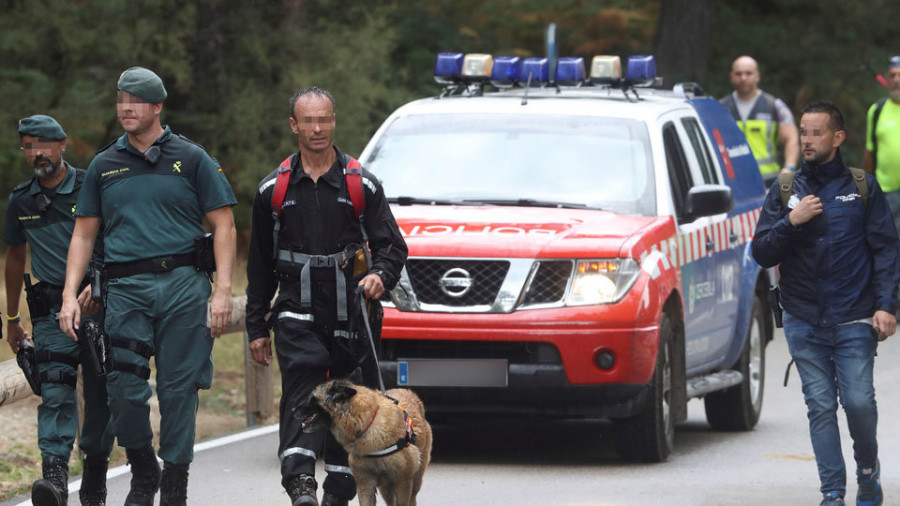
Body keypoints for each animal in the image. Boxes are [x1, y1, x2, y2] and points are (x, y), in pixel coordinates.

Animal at [296, 372, 432, 506]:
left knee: (412, 498)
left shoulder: (403, 484)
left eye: (312, 399)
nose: (293, 409)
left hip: (414, 482)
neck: (366, 423)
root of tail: (405, 390)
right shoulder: (365, 484)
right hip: (386, 488)